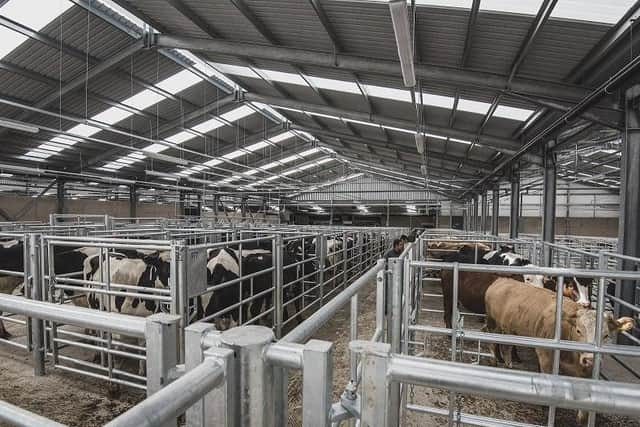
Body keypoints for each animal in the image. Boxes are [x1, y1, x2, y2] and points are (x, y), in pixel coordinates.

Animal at [484, 278, 636, 424]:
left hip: (508, 330)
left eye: (606, 335)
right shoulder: (545, 357)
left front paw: (581, 418)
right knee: (492, 342)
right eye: (578, 330)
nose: (589, 359)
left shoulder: (587, 372)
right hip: (493, 323)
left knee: (507, 347)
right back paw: (495, 361)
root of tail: (501, 280)